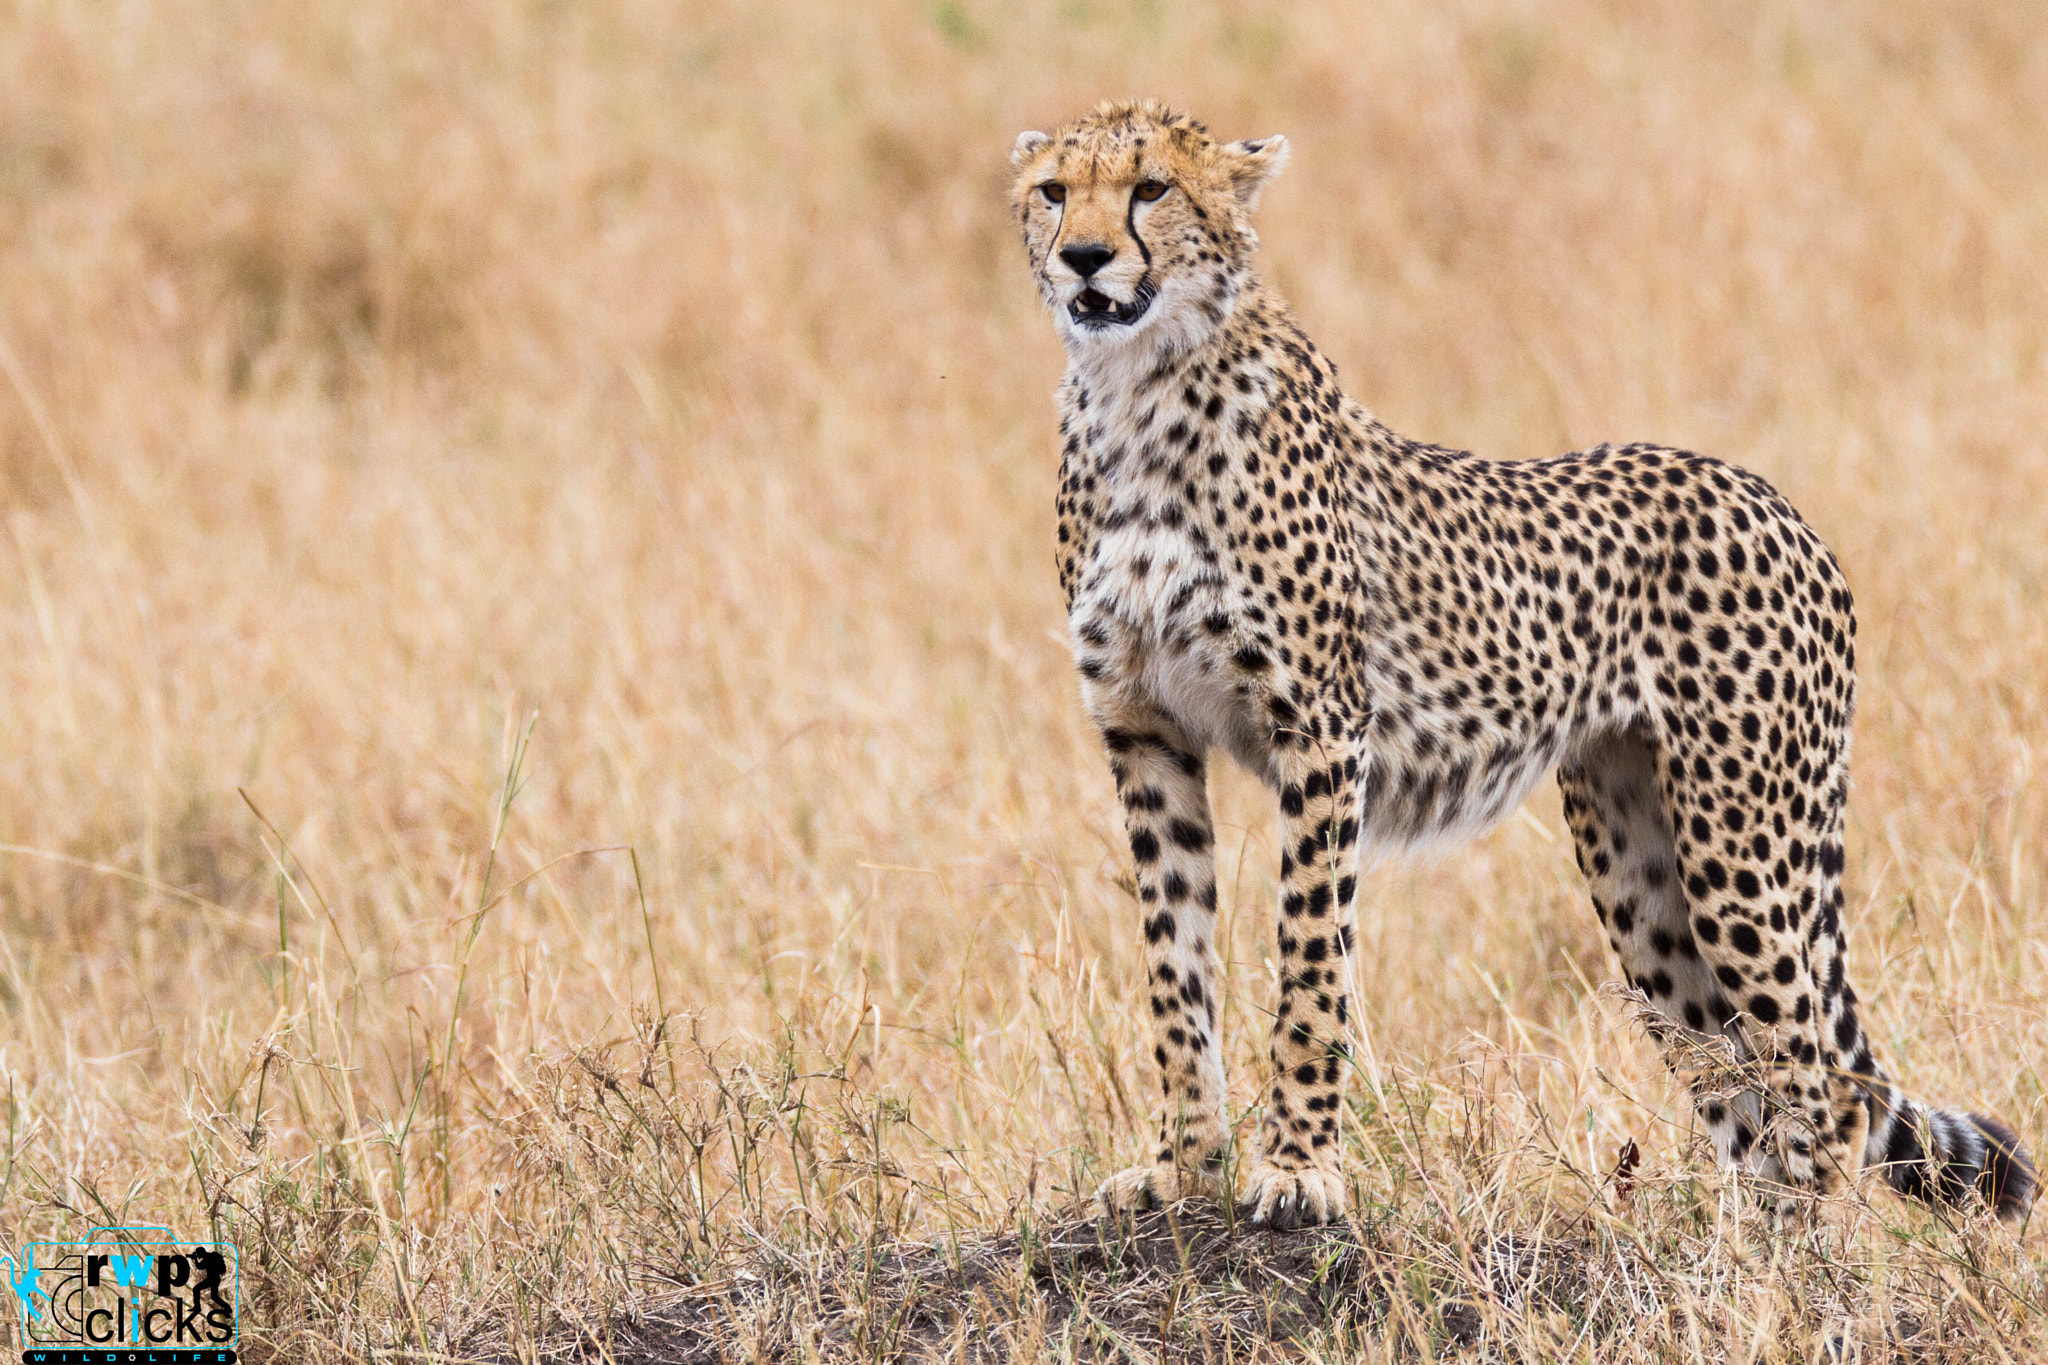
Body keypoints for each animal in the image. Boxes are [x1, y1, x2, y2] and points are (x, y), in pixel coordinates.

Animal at [1008, 99, 2036, 1230]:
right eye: (1055, 192)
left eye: (1150, 188)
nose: (1084, 257)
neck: (1136, 389)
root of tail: (1775, 501)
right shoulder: (1143, 731)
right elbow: (1174, 966)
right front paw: (1181, 1169)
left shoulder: (1320, 730)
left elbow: (1309, 965)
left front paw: (1298, 1170)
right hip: (1640, 865)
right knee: (1740, 1084)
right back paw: (1733, 1253)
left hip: (1741, 844)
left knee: (1819, 1083)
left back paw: (1797, 1261)